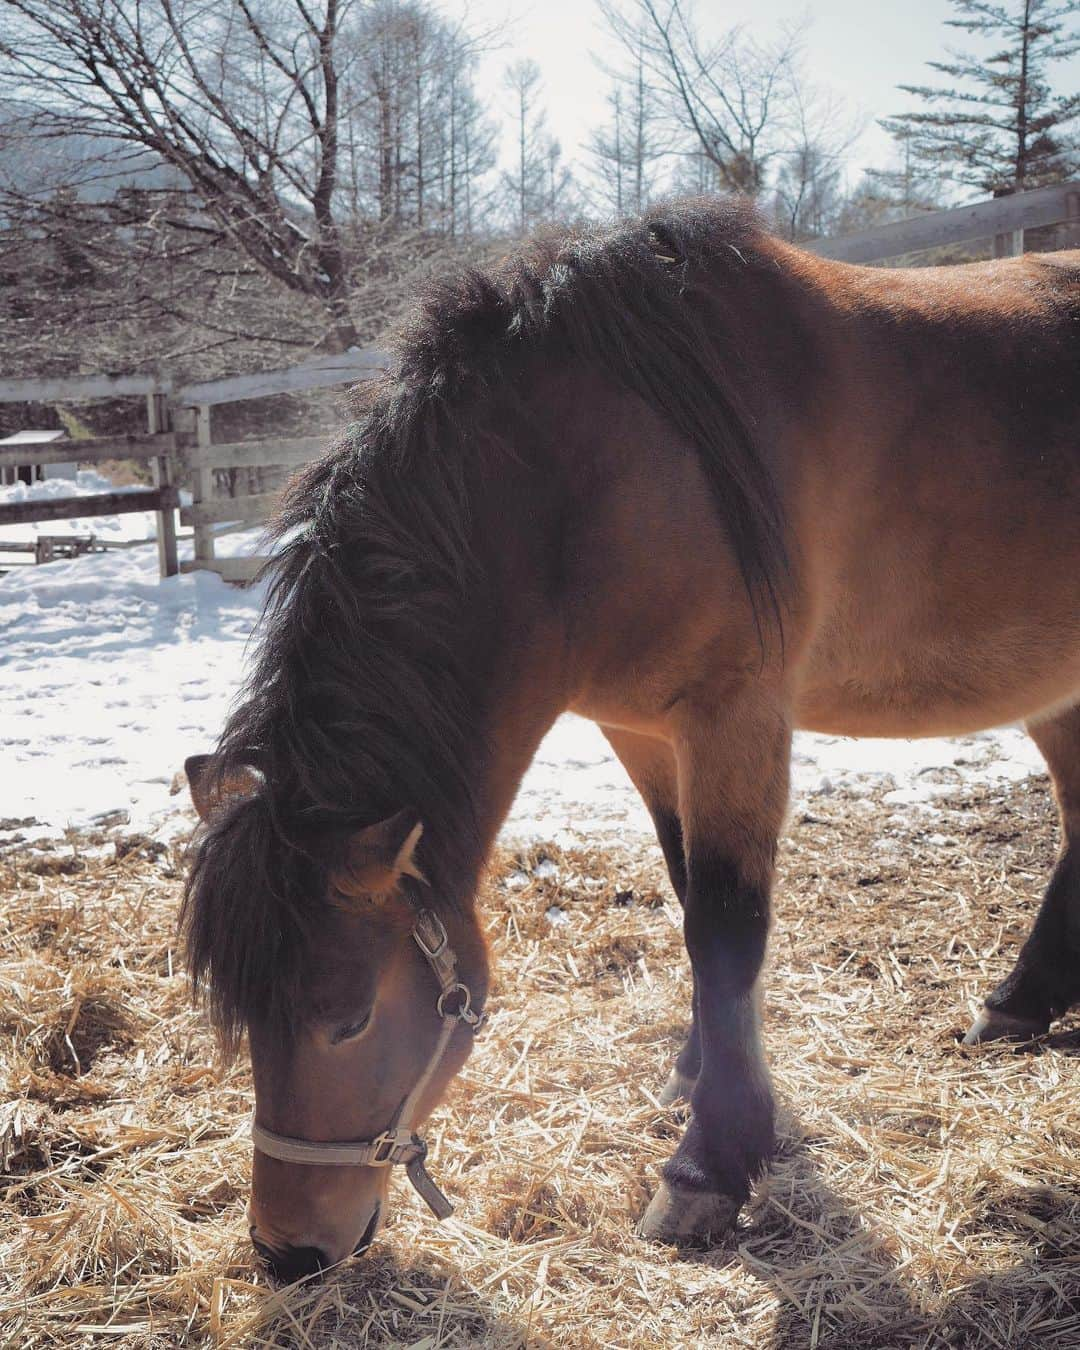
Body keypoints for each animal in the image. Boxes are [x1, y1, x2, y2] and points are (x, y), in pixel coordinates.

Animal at [179, 197, 1080, 1274]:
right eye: (239, 1016)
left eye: (347, 1019)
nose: (285, 1253)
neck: (598, 476)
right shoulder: (639, 730)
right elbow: (689, 892)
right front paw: (702, 1077)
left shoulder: (734, 717)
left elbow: (726, 930)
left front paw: (708, 1169)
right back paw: (1021, 1003)